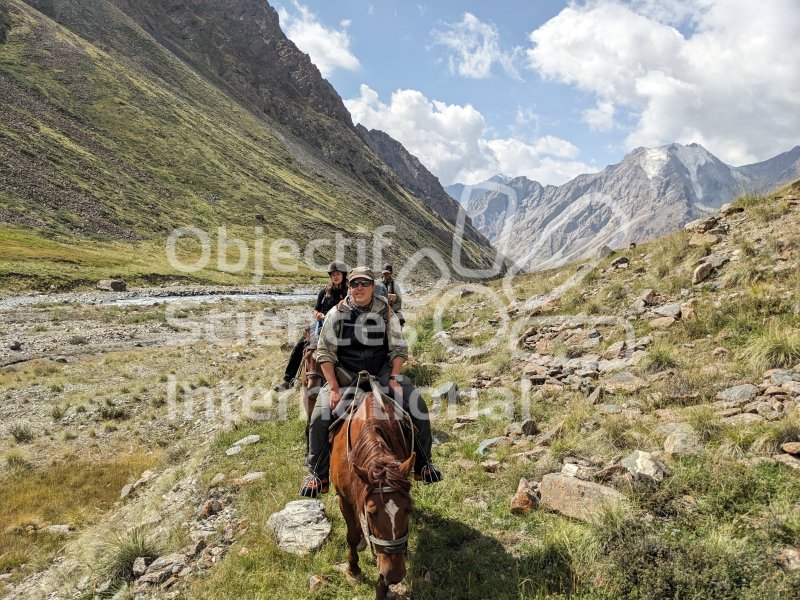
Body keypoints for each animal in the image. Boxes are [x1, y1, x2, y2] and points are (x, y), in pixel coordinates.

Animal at [332, 376, 418, 600]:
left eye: (408, 509)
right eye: (371, 513)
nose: (395, 575)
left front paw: (382, 588)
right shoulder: (344, 500)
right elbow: (352, 535)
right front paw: (353, 570)